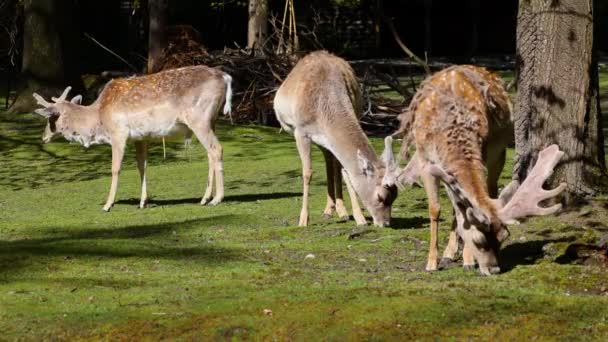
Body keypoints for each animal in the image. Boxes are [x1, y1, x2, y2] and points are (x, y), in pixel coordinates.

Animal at [33, 65, 233, 211]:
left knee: (217, 148)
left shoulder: (118, 134)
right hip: (211, 120)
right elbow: (142, 165)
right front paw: (142, 202)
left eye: (51, 118)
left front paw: (108, 204)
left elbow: (115, 168)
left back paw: (216, 199)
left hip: (199, 118)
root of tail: (226, 77)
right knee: (210, 153)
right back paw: (205, 198)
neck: (98, 120)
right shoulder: (140, 137)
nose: (43, 137)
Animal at [274, 50, 400, 227]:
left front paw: (360, 218)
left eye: (395, 196)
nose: (385, 223)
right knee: (329, 160)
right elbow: (307, 172)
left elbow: (346, 172)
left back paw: (339, 210)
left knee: (333, 162)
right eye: (381, 196)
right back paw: (329, 210)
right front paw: (303, 220)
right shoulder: (301, 132)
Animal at [392, 65, 568, 276]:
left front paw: (467, 260)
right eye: (479, 241)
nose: (494, 269)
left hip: (499, 153)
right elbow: (435, 209)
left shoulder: (482, 153)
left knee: (487, 191)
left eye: (504, 236)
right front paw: (432, 263)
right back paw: (449, 253)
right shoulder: (425, 160)